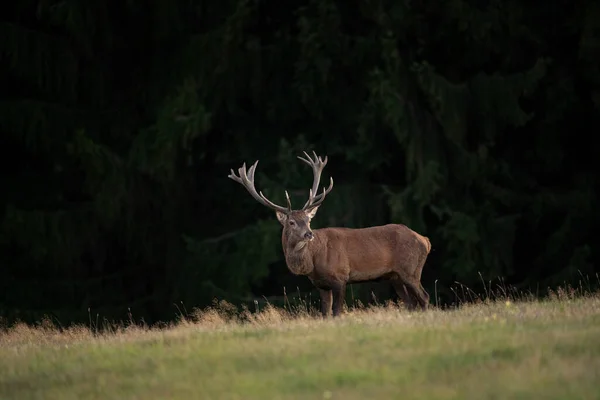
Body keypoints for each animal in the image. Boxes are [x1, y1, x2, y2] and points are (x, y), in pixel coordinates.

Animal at [229, 152, 432, 318]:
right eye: (292, 222)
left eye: (308, 220)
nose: (308, 234)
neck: (313, 261)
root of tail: (425, 240)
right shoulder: (321, 284)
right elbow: (325, 313)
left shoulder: (340, 276)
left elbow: (336, 312)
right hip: (395, 276)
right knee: (411, 303)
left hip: (410, 268)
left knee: (424, 297)